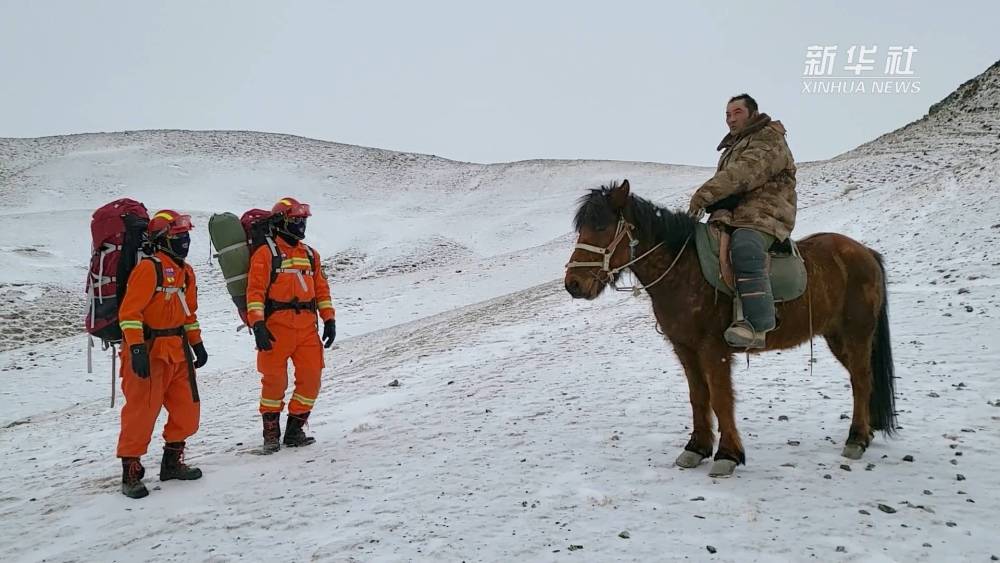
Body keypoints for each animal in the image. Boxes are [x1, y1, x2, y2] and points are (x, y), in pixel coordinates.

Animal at [564, 180, 900, 476]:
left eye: (603, 227)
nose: (573, 284)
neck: (684, 271)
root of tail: (866, 253)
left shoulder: (714, 350)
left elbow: (721, 398)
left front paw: (728, 455)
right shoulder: (685, 349)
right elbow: (698, 396)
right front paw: (696, 448)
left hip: (856, 334)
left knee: (861, 380)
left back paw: (856, 438)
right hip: (837, 337)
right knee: (862, 379)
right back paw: (866, 432)